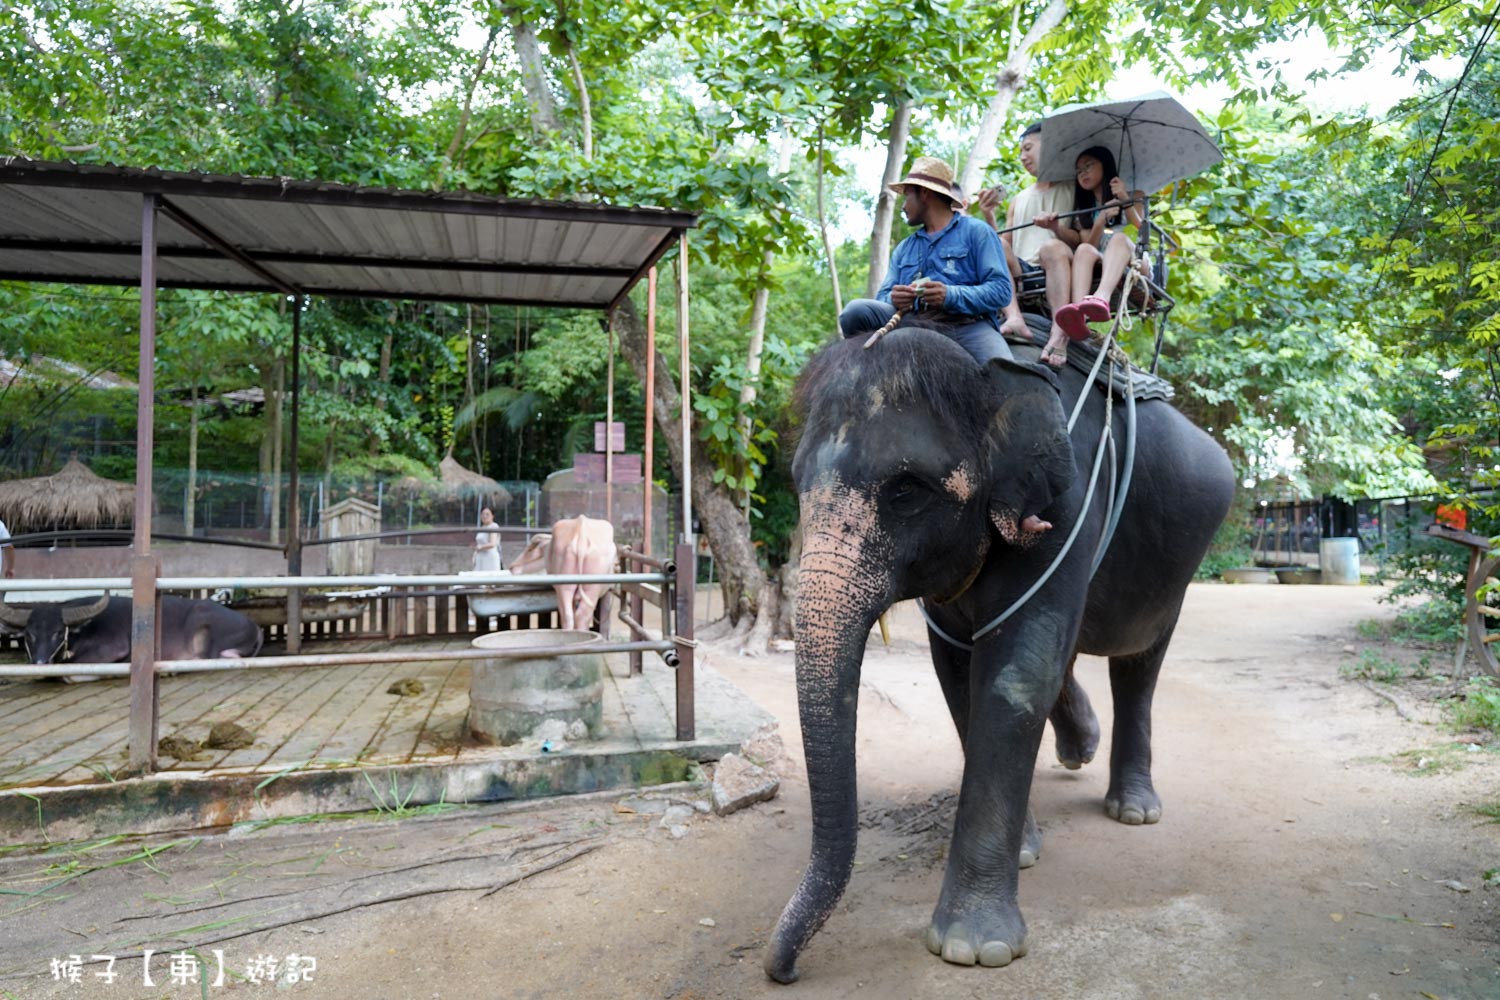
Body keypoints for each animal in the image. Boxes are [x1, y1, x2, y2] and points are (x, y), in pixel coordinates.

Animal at [768, 325, 1236, 983]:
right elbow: (960, 673)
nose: (784, 971)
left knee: (1139, 660)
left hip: (1180, 565)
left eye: (906, 491)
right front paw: (1025, 852)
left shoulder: (1064, 507)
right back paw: (1078, 749)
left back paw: (1134, 809)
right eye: (797, 482)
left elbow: (1015, 673)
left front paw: (974, 948)